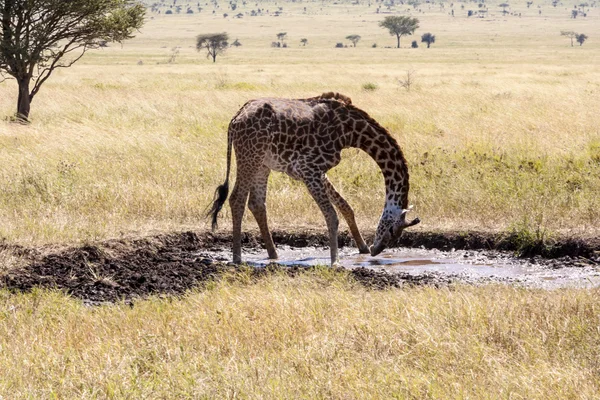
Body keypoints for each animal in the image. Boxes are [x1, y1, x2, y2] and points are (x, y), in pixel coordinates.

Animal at [209, 91, 420, 266]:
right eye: (392, 230)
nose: (376, 251)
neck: (349, 132)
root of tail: (235, 118)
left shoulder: (317, 171)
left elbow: (345, 206)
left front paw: (361, 248)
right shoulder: (307, 169)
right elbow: (332, 215)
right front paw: (335, 261)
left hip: (262, 163)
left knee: (257, 204)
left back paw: (273, 255)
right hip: (250, 156)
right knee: (237, 199)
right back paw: (237, 258)